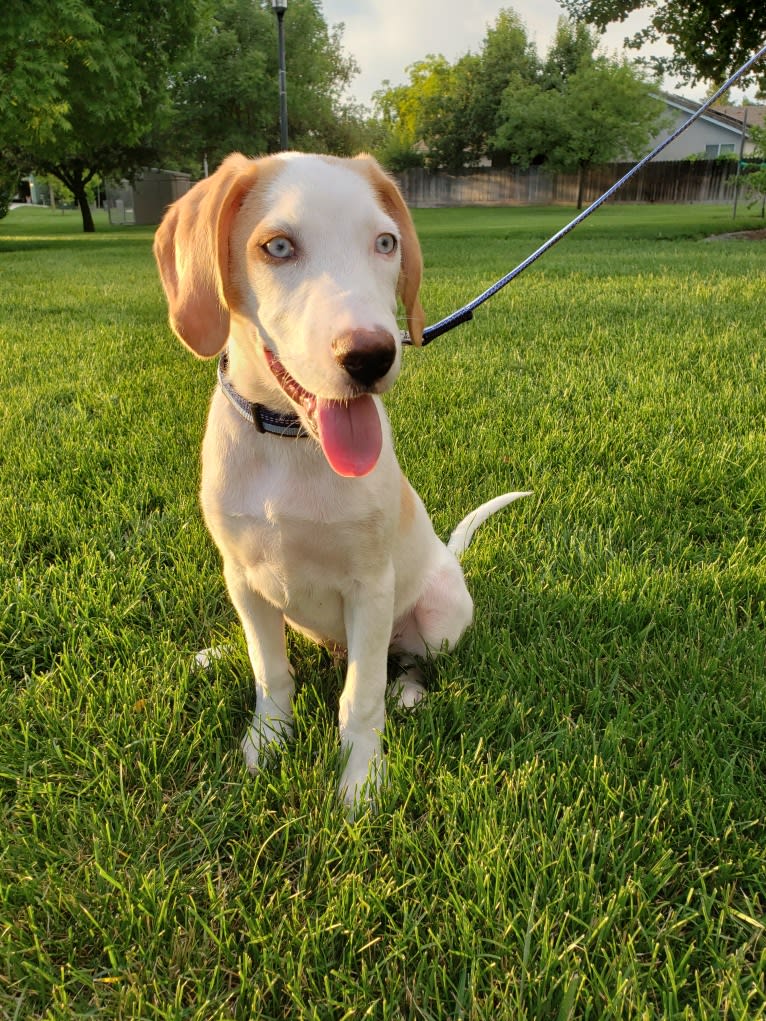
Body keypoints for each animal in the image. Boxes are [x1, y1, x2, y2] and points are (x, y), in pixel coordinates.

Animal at [154, 151, 531, 808]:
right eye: (277, 247)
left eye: (386, 242)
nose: (373, 356)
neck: (290, 445)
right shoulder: (242, 576)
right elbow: (270, 670)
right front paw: (267, 742)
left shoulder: (371, 587)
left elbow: (361, 697)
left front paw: (360, 781)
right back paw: (220, 652)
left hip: (437, 615)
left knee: (409, 662)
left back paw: (410, 692)